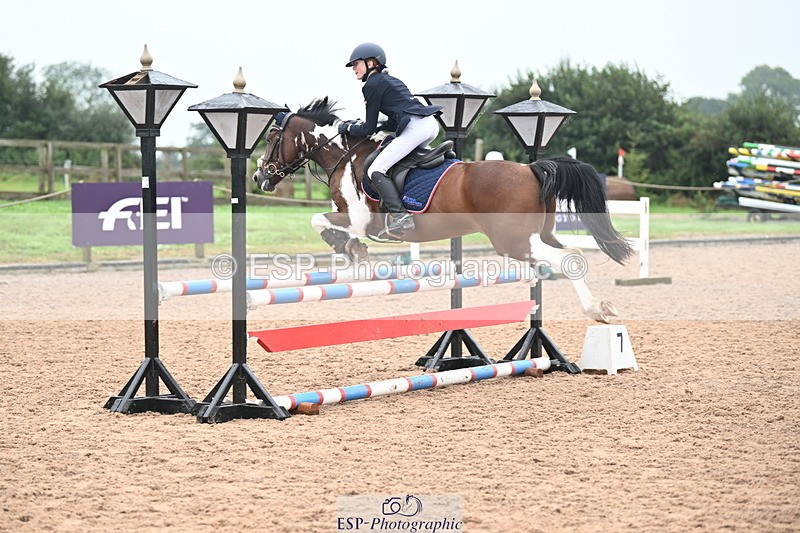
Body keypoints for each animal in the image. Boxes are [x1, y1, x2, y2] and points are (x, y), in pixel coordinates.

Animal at [252, 97, 633, 323]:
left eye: (271, 139)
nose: (260, 177)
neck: (344, 154)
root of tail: (532, 169)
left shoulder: (359, 219)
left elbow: (318, 219)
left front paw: (351, 249)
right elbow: (323, 221)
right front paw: (350, 249)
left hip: (513, 241)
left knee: (571, 259)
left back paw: (596, 309)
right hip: (539, 234)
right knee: (567, 254)